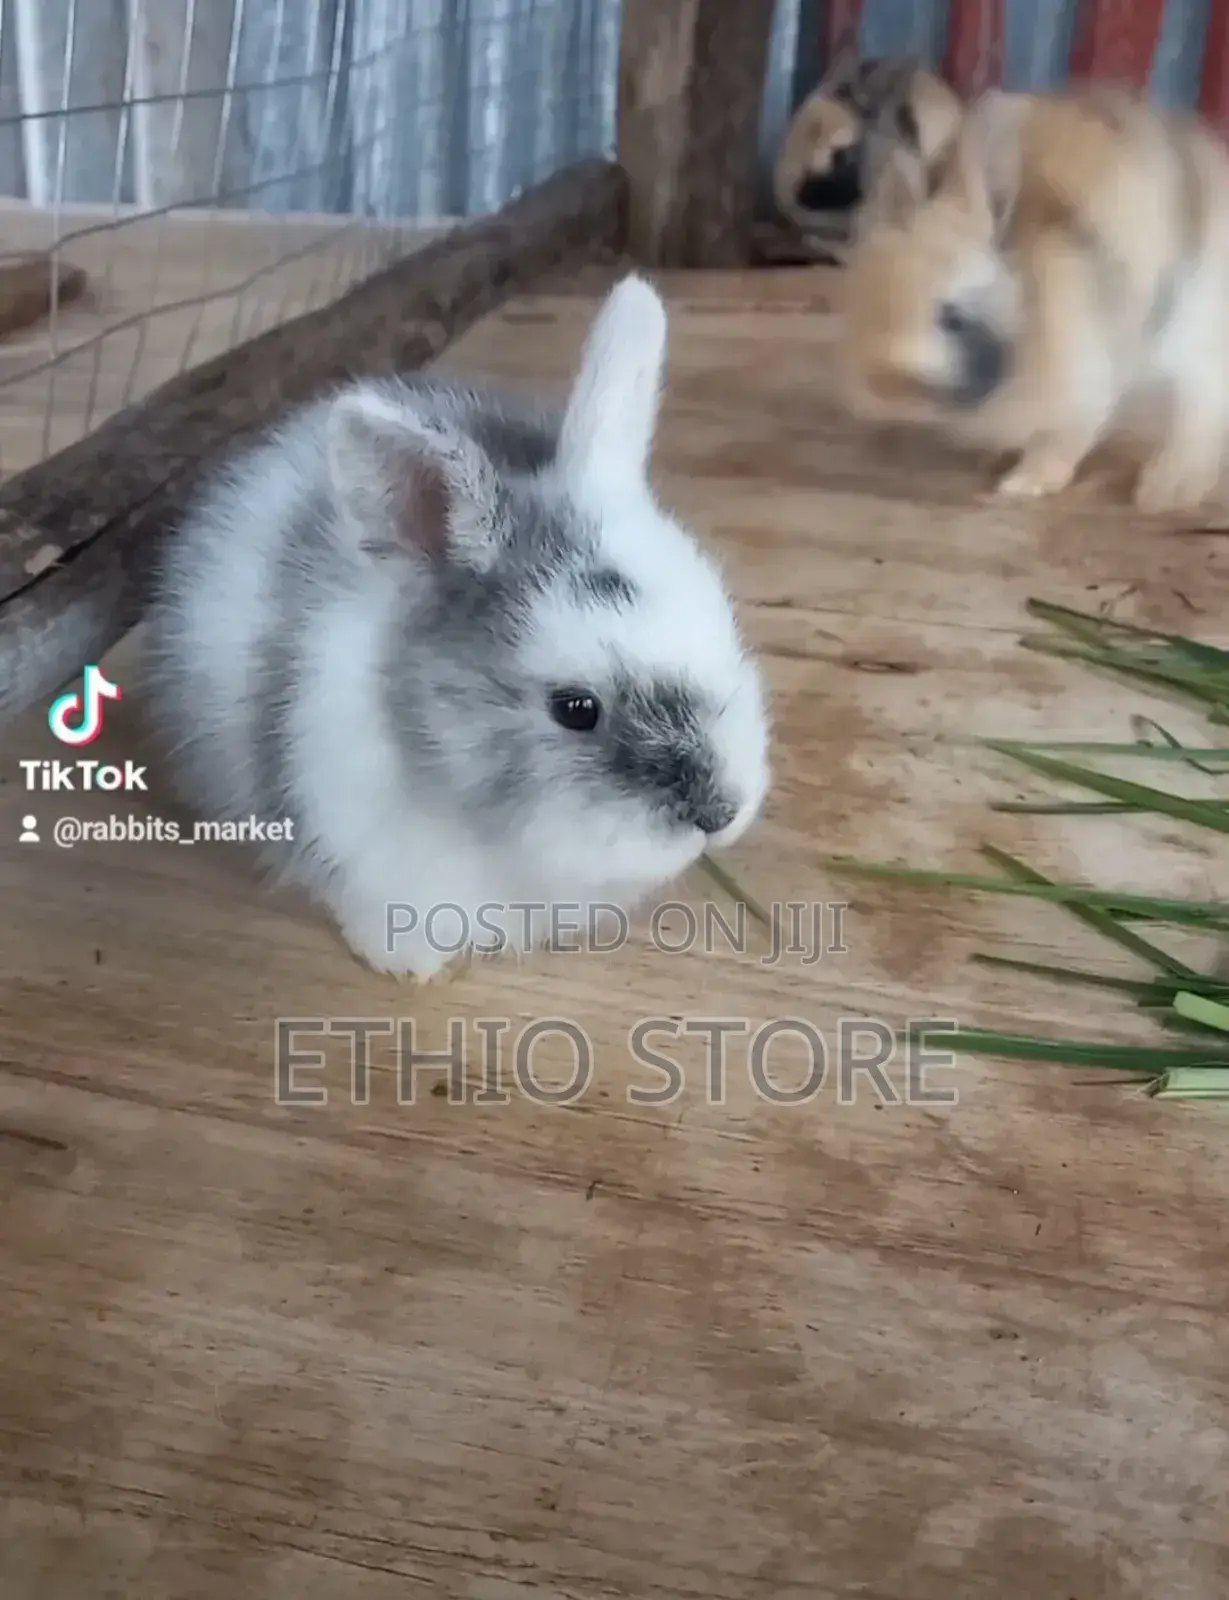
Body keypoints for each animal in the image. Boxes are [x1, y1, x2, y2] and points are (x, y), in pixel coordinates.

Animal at [837, 83, 1229, 513]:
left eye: (951, 316)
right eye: (861, 299)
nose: (880, 385)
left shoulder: (1090, 376)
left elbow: (1068, 436)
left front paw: (1025, 483)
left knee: (1203, 404)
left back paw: (1167, 490)